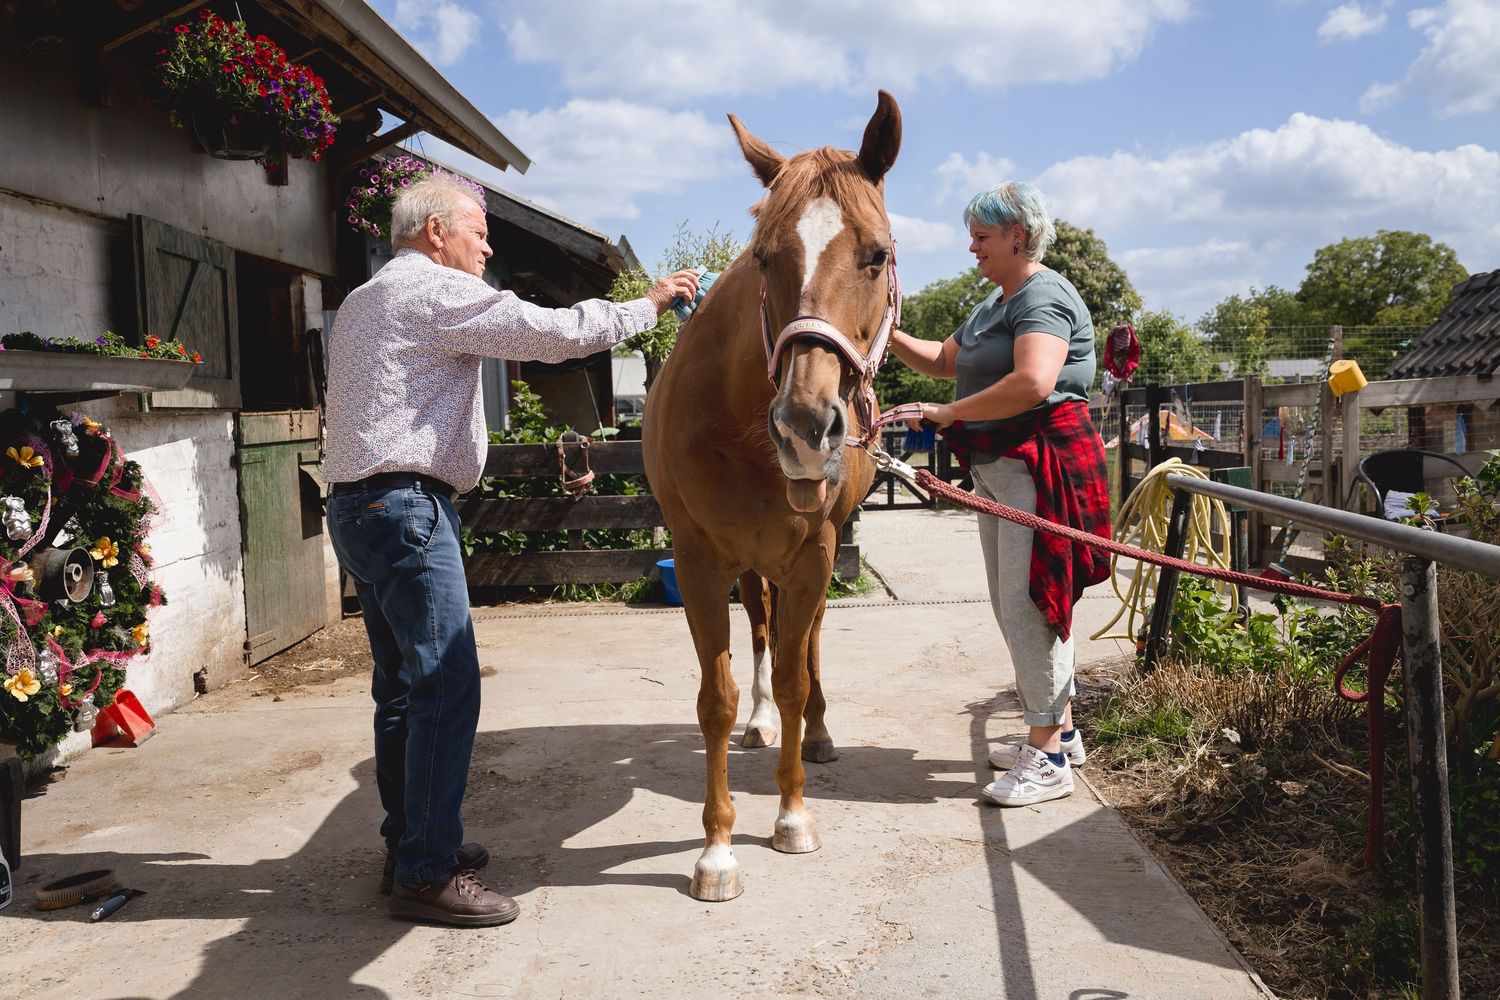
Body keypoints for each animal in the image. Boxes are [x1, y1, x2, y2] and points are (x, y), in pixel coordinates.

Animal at [642, 91, 902, 902]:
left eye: (876, 254)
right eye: (762, 257)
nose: (805, 426)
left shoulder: (814, 554)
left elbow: (793, 675)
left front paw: (791, 815)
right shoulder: (700, 562)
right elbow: (717, 698)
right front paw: (717, 849)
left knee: (806, 644)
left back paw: (815, 733)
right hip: (750, 566)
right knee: (760, 632)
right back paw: (761, 725)